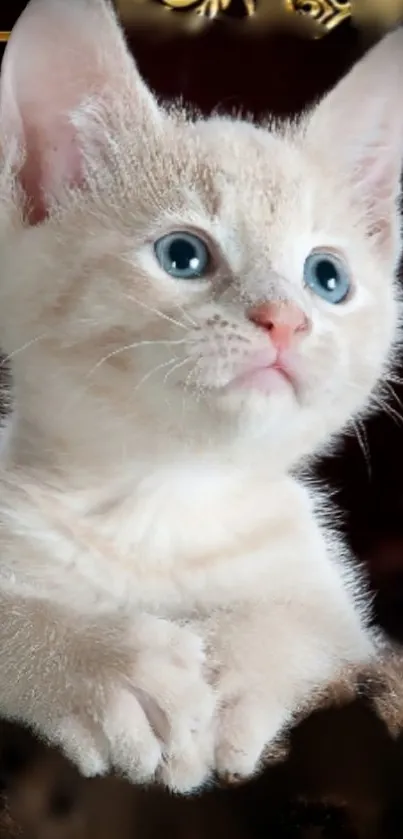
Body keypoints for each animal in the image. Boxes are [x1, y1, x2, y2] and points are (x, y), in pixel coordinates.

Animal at [0, 0, 402, 796]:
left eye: (327, 277)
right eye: (183, 255)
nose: (285, 319)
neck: (161, 502)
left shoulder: (343, 617)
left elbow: (310, 627)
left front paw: (235, 675)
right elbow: (10, 615)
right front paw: (104, 666)